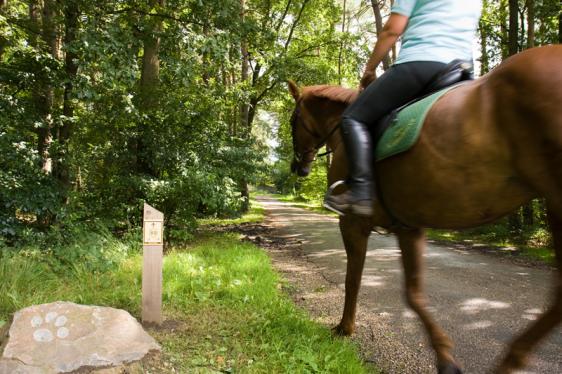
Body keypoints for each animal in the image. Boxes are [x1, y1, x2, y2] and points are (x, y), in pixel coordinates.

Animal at [286, 45, 560, 372]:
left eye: (292, 120)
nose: (298, 167)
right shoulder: (408, 227)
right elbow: (414, 294)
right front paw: (444, 357)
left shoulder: (352, 223)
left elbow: (353, 278)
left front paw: (344, 328)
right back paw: (513, 358)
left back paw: (511, 359)